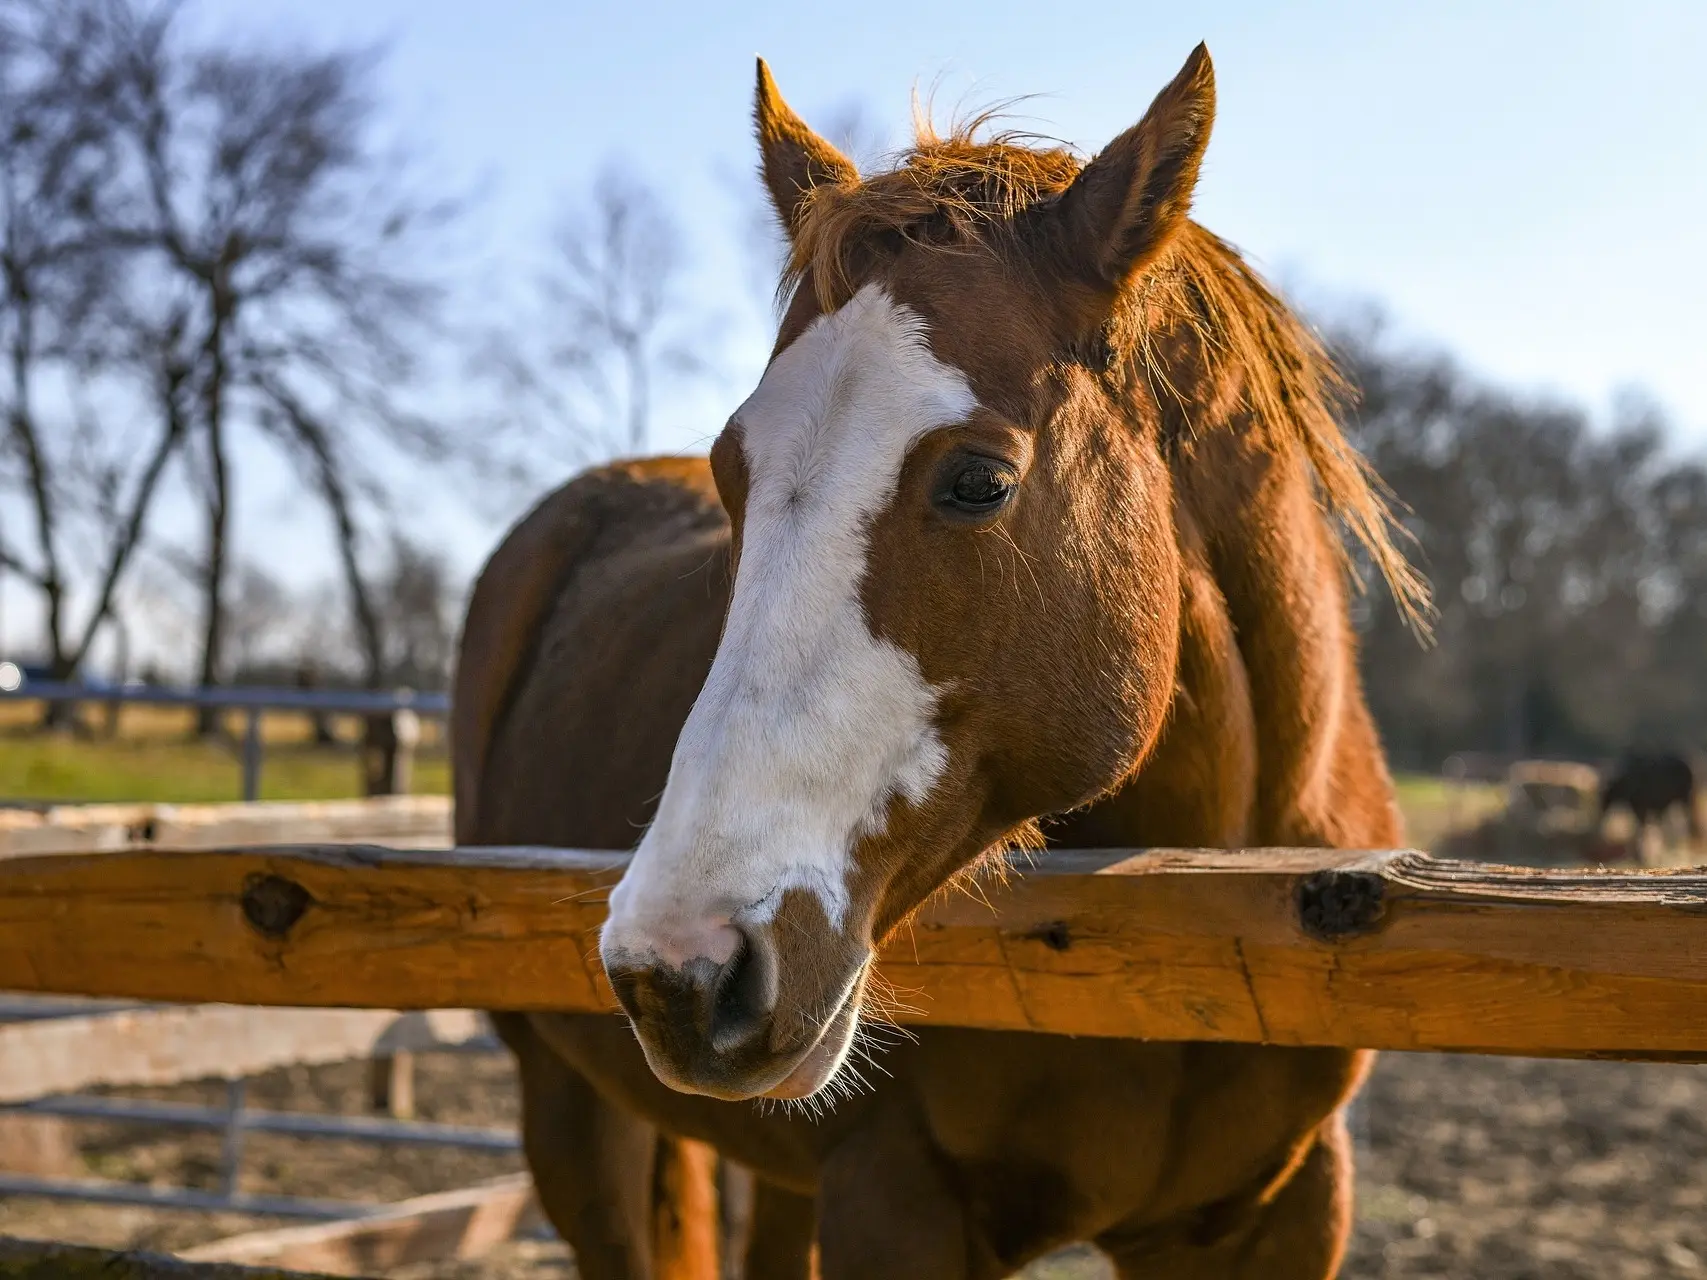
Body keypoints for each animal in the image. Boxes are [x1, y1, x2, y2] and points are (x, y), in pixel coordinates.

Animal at [450, 45, 1427, 1280]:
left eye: (978, 480)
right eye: (730, 470)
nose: (676, 968)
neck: (1203, 909)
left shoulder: (1281, 1213)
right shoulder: (897, 1200)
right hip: (568, 1108)